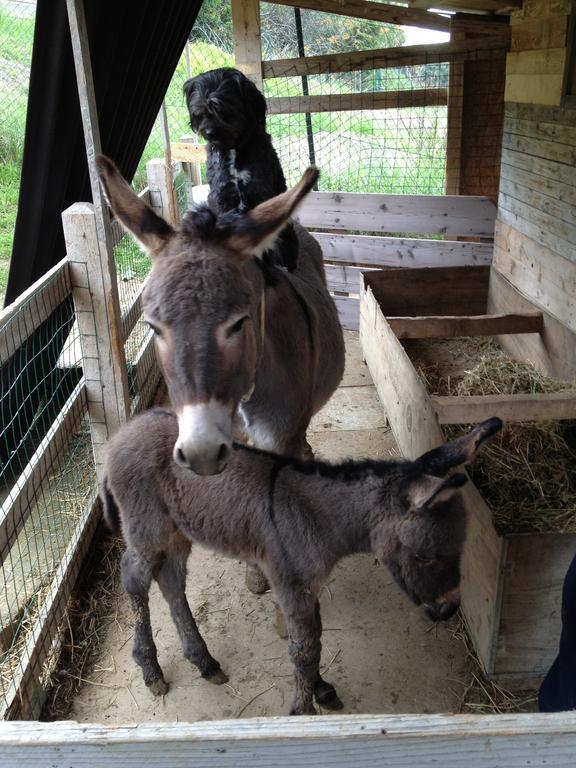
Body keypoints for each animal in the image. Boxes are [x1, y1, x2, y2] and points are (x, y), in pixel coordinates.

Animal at [183, 66, 302, 272]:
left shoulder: (260, 192)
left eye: (223, 110)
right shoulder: (221, 195)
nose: (208, 132)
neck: (234, 150)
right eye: (200, 111)